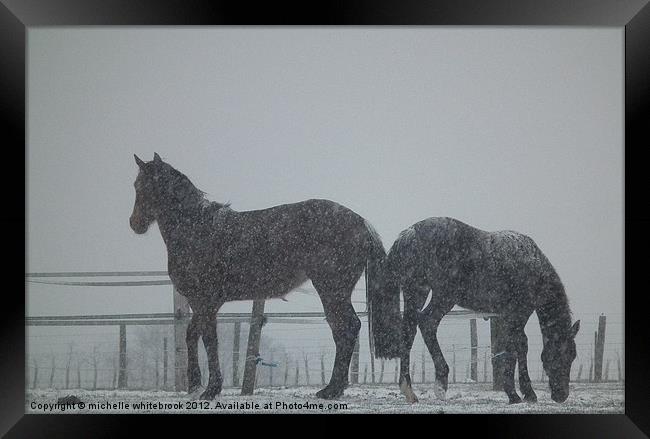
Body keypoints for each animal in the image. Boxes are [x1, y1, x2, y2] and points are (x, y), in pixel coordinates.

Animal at [128, 155, 398, 402]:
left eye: (140, 185)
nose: (134, 224)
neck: (198, 229)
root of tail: (360, 222)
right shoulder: (204, 303)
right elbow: (192, 335)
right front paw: (195, 385)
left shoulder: (205, 301)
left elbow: (210, 340)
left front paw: (211, 389)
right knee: (344, 329)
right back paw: (334, 388)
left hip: (331, 290)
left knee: (346, 328)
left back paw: (331, 390)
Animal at [372, 217, 580, 406]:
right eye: (559, 355)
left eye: (573, 356)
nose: (561, 395)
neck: (531, 265)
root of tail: (410, 233)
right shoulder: (517, 314)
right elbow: (516, 347)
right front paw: (517, 394)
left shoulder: (507, 316)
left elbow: (515, 346)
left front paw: (522, 392)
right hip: (443, 296)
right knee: (427, 322)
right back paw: (440, 384)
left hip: (416, 291)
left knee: (410, 331)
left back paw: (409, 390)